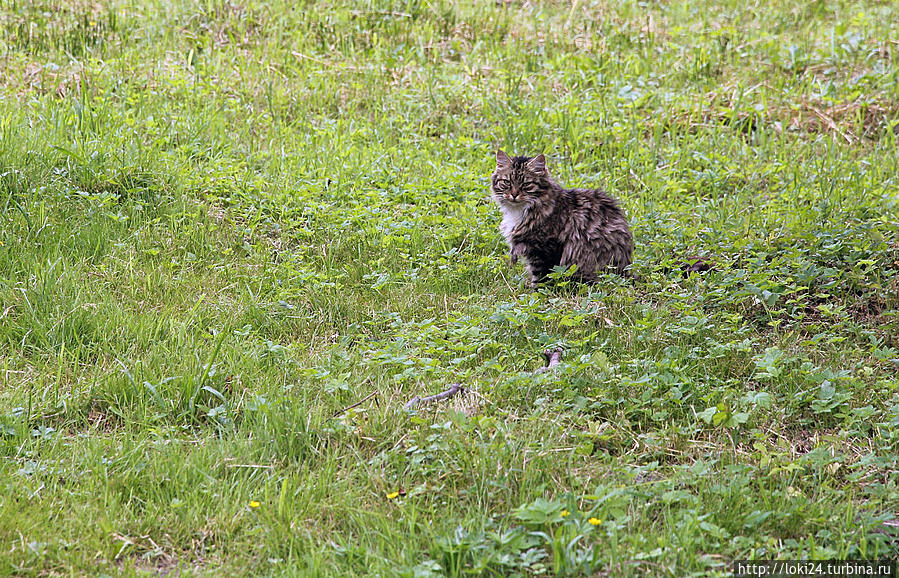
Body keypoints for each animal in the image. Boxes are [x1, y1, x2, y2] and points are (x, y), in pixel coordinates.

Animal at [492, 148, 632, 284]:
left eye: (526, 184)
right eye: (507, 182)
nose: (514, 194)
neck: (518, 211)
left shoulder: (545, 250)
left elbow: (541, 280)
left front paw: (536, 290)